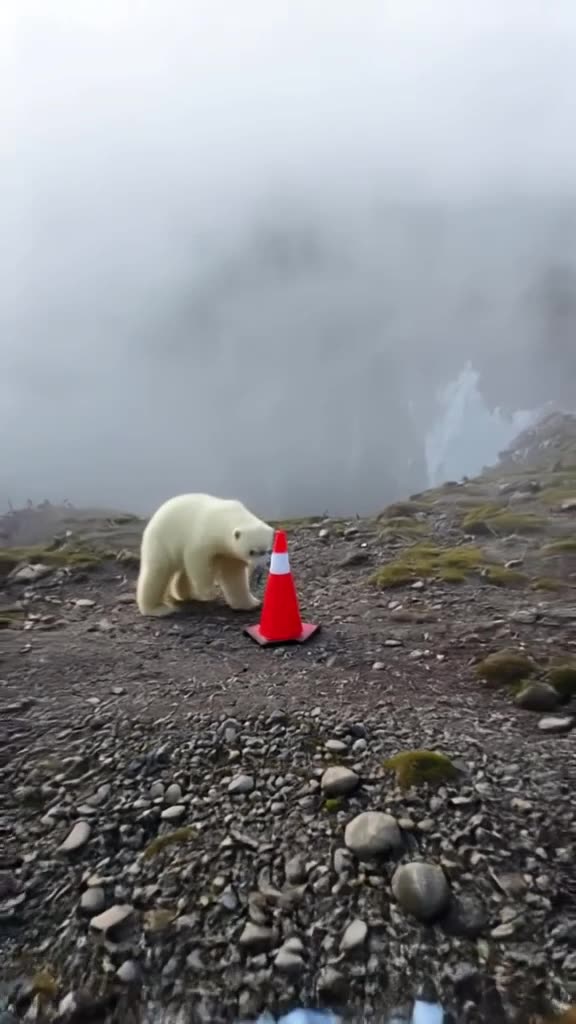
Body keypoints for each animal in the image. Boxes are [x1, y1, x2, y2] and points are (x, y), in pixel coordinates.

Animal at [135, 493, 274, 618]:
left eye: (268, 550)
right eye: (252, 551)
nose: (263, 565)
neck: (226, 517)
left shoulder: (229, 552)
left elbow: (233, 575)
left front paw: (251, 604)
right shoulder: (204, 537)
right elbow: (198, 561)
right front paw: (209, 592)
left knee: (182, 572)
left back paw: (187, 595)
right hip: (161, 540)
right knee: (157, 572)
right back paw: (158, 608)